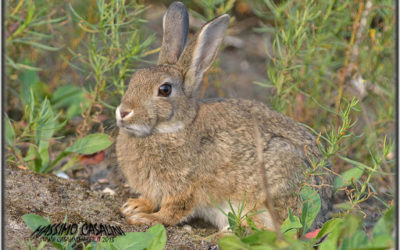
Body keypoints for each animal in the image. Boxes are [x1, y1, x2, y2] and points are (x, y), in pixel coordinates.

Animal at [115, 1, 332, 230]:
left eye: (164, 90)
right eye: (135, 78)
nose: (123, 112)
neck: (174, 128)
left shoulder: (184, 188)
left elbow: (172, 212)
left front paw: (146, 218)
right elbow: (151, 199)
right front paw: (134, 206)